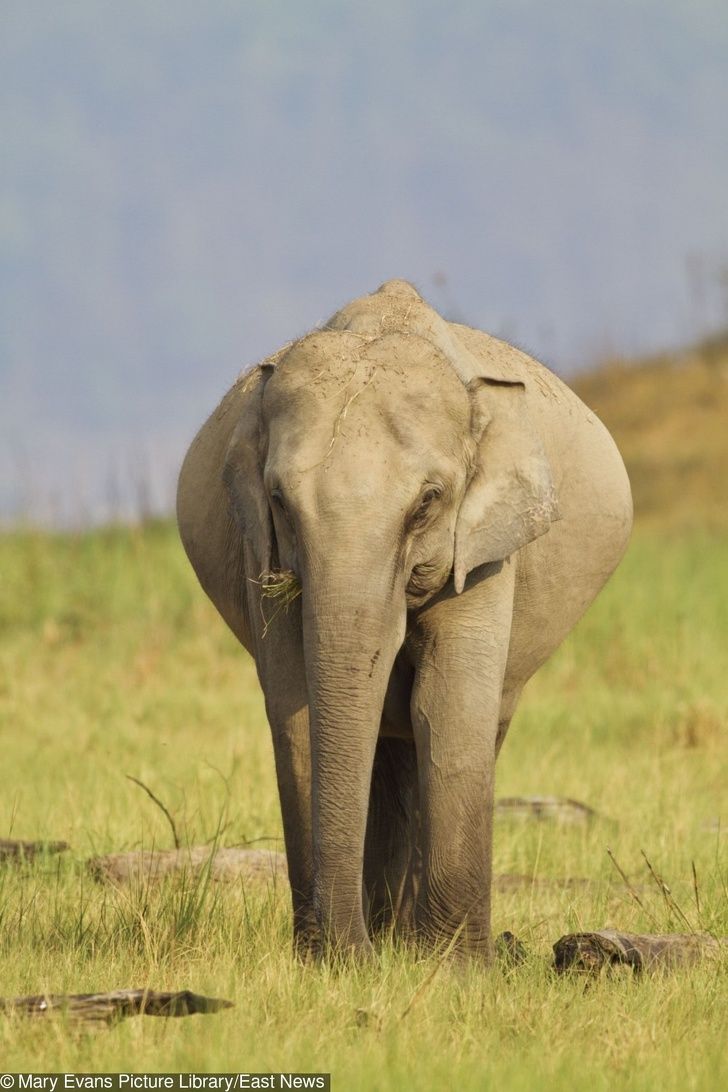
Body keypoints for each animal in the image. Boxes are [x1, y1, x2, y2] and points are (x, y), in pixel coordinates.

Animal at [176, 277, 633, 960]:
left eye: (427, 502)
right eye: (279, 500)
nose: (350, 955)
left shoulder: (486, 551)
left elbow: (446, 706)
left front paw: (454, 969)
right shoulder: (261, 550)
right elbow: (297, 708)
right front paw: (328, 960)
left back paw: (410, 943)